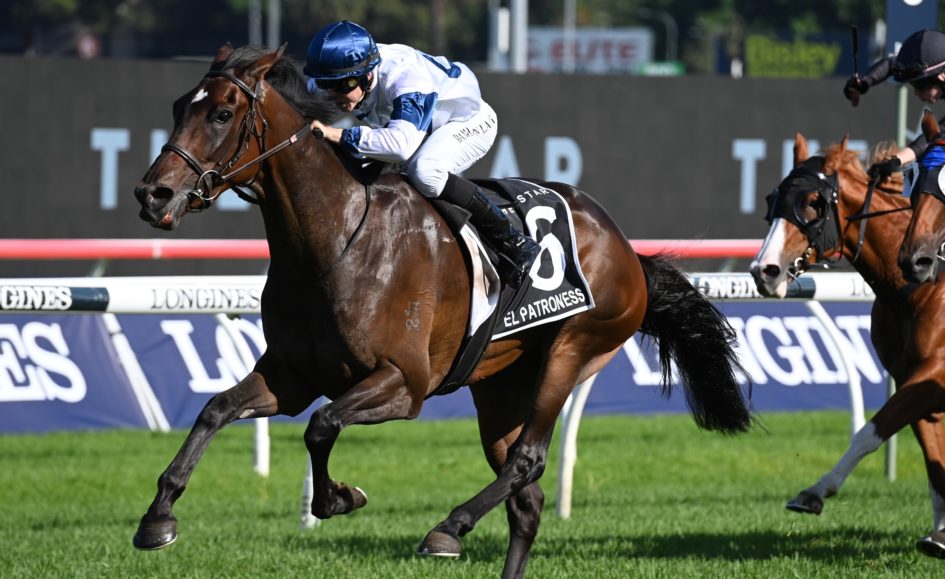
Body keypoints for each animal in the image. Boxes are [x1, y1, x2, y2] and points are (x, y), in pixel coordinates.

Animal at [131, 44, 751, 578]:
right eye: (178, 107)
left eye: (222, 113)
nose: (152, 195)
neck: (333, 241)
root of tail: (627, 250)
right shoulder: (290, 376)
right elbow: (216, 409)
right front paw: (157, 518)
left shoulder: (404, 383)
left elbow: (321, 425)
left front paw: (339, 497)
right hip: (501, 386)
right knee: (526, 500)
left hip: (574, 348)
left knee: (528, 461)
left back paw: (448, 528)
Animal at [749, 133, 945, 558]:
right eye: (773, 199)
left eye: (812, 203)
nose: (763, 271)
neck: (920, 286)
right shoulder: (913, 377)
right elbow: (934, 460)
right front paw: (941, 533)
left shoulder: (935, 373)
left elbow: (870, 431)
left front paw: (815, 491)